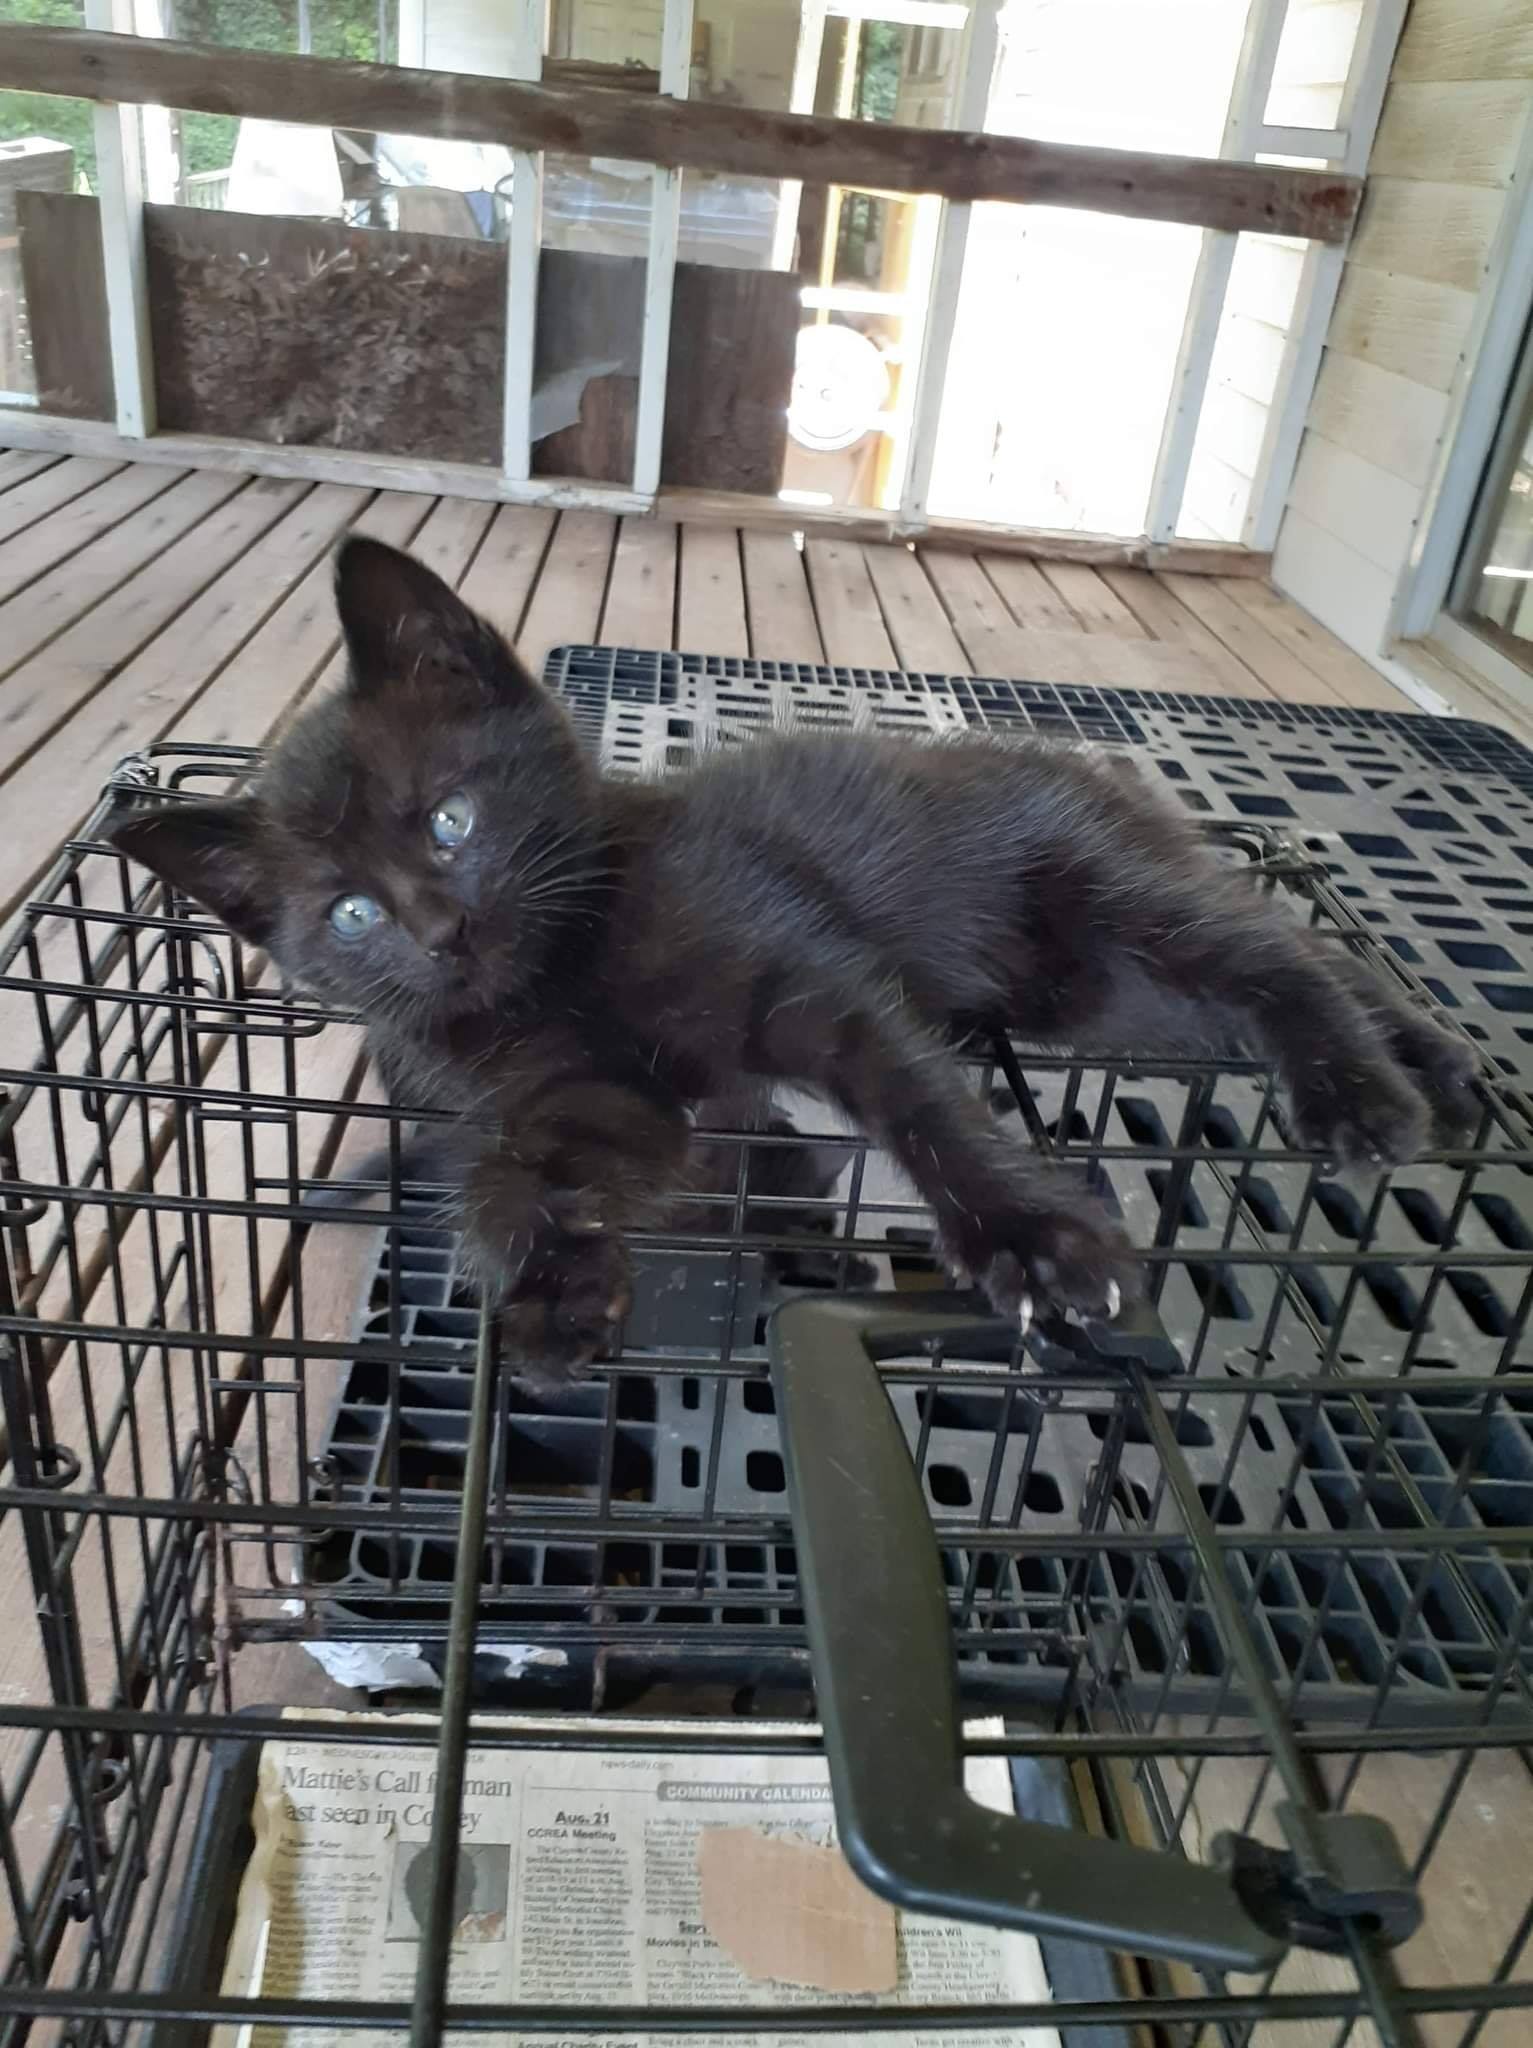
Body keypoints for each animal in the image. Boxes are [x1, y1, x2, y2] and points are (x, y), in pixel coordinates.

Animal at [108, 537, 1479, 1380]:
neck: (568, 971)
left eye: (450, 817)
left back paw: (1361, 1089)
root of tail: (1092, 771)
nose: (443, 934)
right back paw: (1430, 1063)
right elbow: (519, 1165)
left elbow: (924, 1105)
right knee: (1272, 949)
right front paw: (551, 1281)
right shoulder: (614, 1101)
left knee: (1266, 948)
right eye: (347, 914)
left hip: (1093, 899)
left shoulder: (814, 986)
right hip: (1099, 994)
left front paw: (1031, 1239)